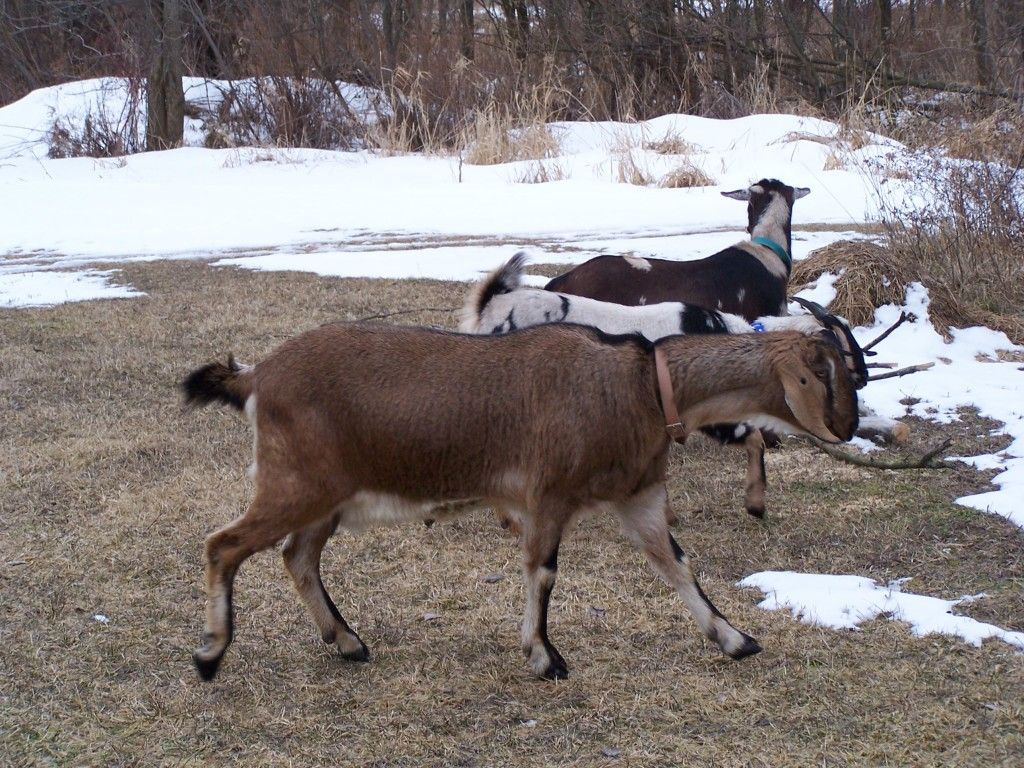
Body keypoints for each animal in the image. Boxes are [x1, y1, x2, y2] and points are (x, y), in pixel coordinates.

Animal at [182, 321, 860, 682]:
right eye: (829, 373)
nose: (851, 427)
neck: (639, 387)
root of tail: (257, 375)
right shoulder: (549, 496)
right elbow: (544, 571)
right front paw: (544, 656)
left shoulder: (638, 498)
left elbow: (678, 567)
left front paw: (734, 639)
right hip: (297, 483)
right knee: (224, 545)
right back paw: (211, 652)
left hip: (325, 498)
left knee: (297, 556)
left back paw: (347, 641)